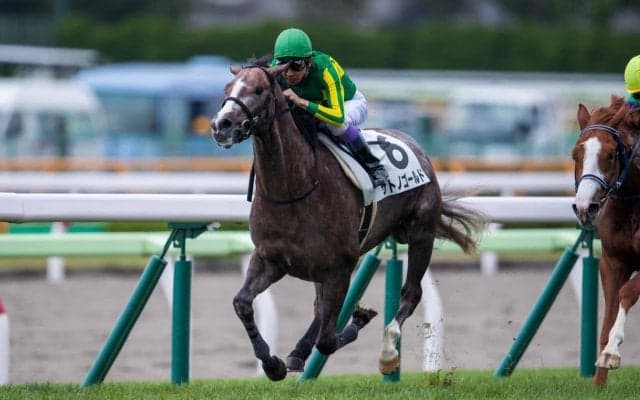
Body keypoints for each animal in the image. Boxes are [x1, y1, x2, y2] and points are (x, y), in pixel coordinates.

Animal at [210, 62, 484, 381]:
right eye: (227, 89)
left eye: (258, 89)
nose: (221, 124)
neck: (294, 189)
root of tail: (415, 145)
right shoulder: (270, 258)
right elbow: (242, 303)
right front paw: (272, 363)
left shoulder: (340, 266)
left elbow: (328, 340)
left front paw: (362, 319)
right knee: (320, 310)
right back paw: (298, 353)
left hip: (421, 233)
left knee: (411, 293)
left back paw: (388, 352)